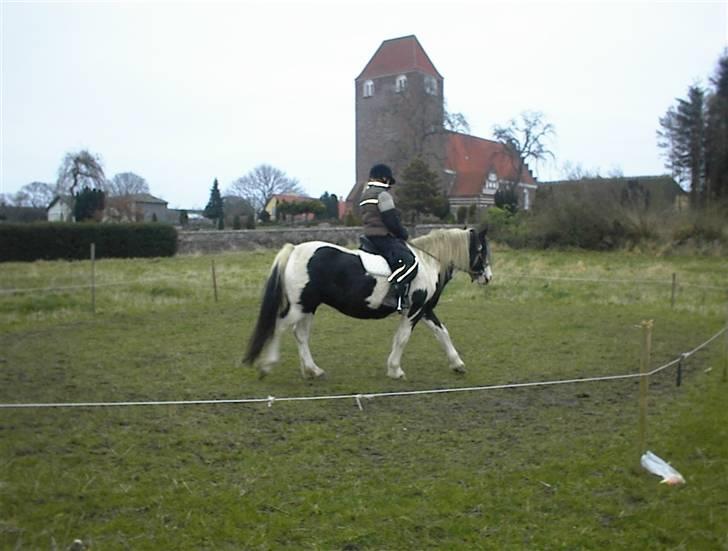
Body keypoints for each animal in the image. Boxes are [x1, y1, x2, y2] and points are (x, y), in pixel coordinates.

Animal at [243, 227, 490, 380]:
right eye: (481, 250)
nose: (488, 277)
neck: (428, 262)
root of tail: (295, 250)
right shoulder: (414, 310)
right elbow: (403, 338)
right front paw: (395, 370)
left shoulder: (424, 310)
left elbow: (442, 333)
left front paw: (457, 364)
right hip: (299, 306)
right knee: (279, 327)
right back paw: (267, 365)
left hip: (308, 307)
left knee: (300, 335)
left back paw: (313, 370)